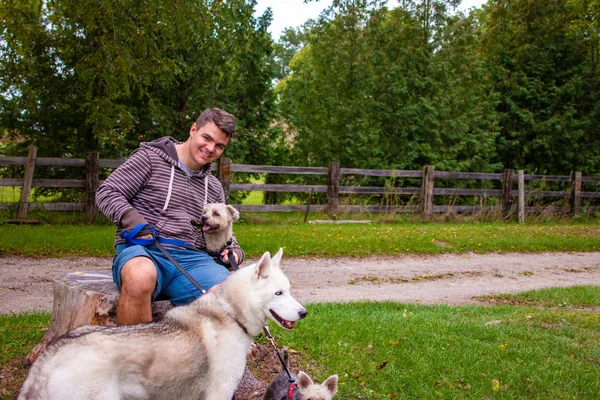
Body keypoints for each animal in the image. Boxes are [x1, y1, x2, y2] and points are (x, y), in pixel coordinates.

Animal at [18, 248, 308, 398]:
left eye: (289, 290)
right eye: (278, 293)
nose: (304, 312)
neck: (230, 313)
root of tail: (52, 355)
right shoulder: (220, 391)